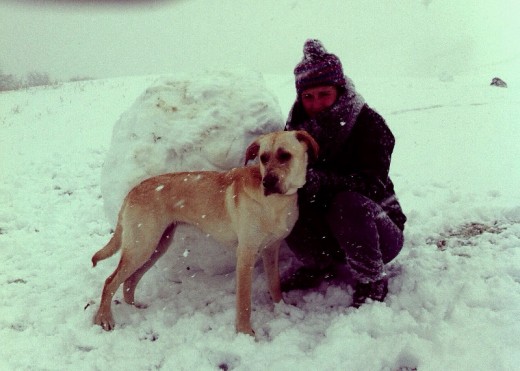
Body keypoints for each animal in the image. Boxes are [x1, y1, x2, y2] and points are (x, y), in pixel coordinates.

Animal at [90, 131, 316, 338]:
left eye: (285, 155)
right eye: (263, 158)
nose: (267, 182)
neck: (276, 203)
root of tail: (132, 191)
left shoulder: (271, 249)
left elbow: (274, 284)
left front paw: (282, 309)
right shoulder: (246, 254)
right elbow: (244, 301)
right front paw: (244, 333)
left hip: (157, 246)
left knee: (129, 281)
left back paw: (134, 309)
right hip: (142, 245)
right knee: (110, 281)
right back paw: (104, 319)